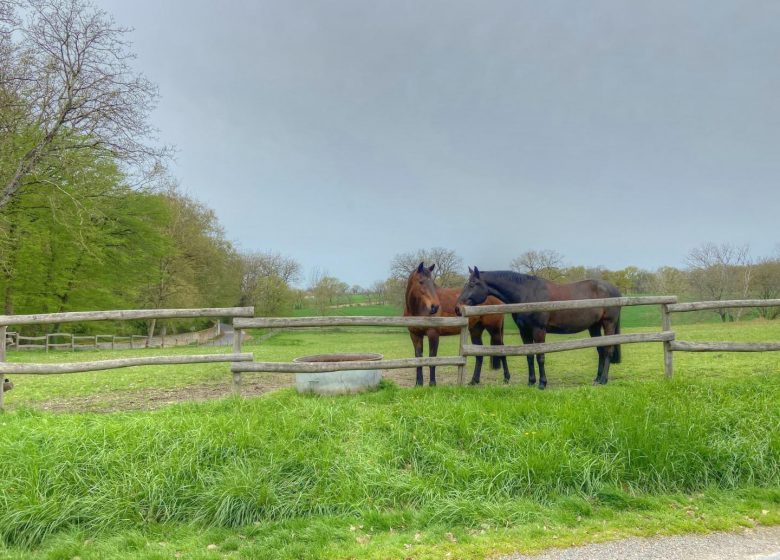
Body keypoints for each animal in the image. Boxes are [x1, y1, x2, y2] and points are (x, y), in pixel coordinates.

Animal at [454, 268, 624, 390]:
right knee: (601, 350)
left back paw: (603, 379)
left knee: (608, 350)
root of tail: (614, 290)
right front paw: (531, 382)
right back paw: (597, 378)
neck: (527, 294)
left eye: (471, 284)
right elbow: (529, 356)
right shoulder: (525, 332)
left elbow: (540, 356)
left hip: (608, 324)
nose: (457, 308)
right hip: (594, 327)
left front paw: (542, 383)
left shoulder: (539, 330)